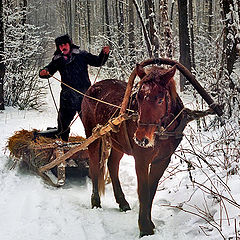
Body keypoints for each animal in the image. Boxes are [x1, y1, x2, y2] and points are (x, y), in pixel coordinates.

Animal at [81, 62, 185, 237]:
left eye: (160, 99)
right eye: (138, 98)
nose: (141, 138)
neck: (162, 132)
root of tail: (93, 87)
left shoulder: (162, 160)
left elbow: (151, 191)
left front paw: (149, 223)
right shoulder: (142, 159)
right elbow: (143, 191)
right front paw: (145, 228)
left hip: (118, 142)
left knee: (112, 164)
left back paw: (122, 202)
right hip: (93, 135)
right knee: (95, 166)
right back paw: (95, 201)